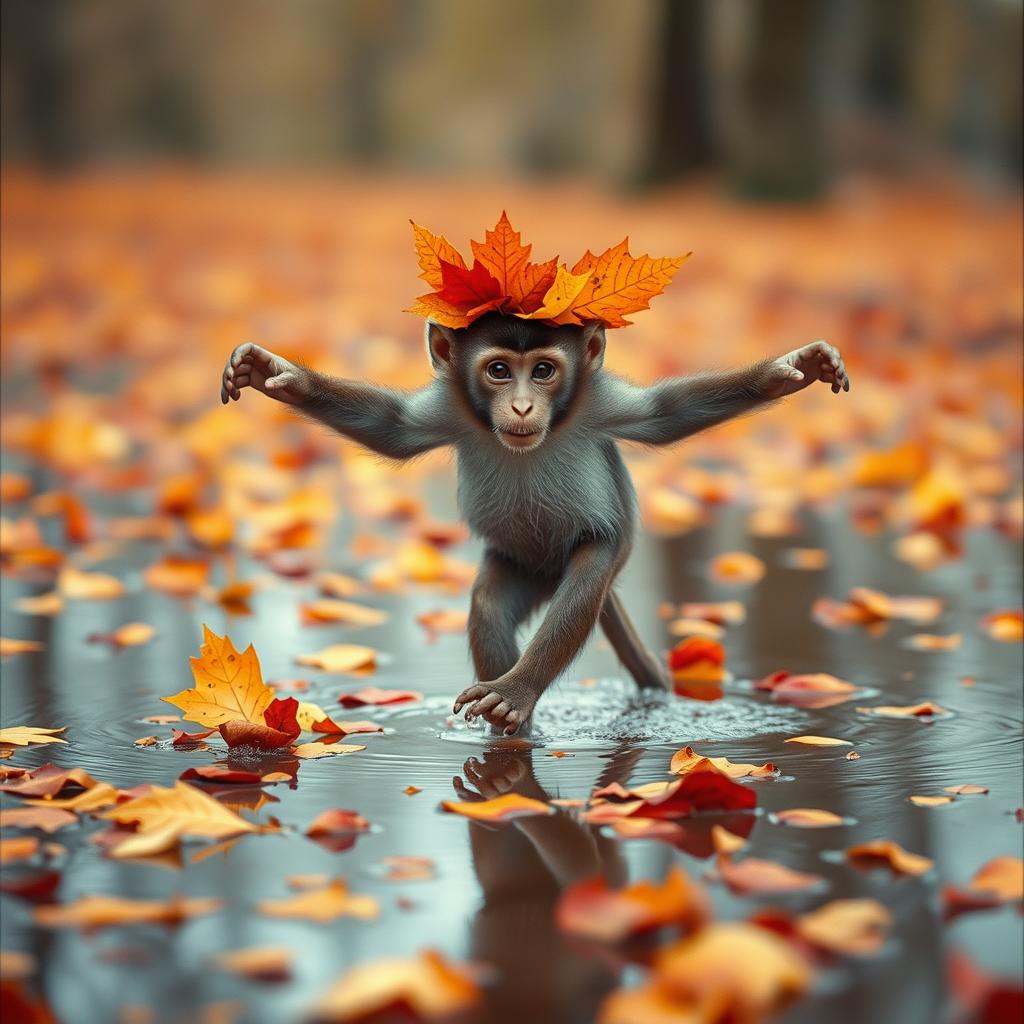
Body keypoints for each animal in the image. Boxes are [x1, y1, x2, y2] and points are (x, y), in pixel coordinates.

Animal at [220, 312, 850, 735]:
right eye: (499, 371)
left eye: (543, 370)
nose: (522, 406)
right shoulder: (453, 408)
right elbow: (392, 427)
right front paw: (278, 374)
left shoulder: (598, 403)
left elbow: (667, 413)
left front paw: (788, 372)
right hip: (518, 562)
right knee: (490, 604)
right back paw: (515, 728)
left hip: (593, 555)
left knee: (588, 578)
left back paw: (514, 696)